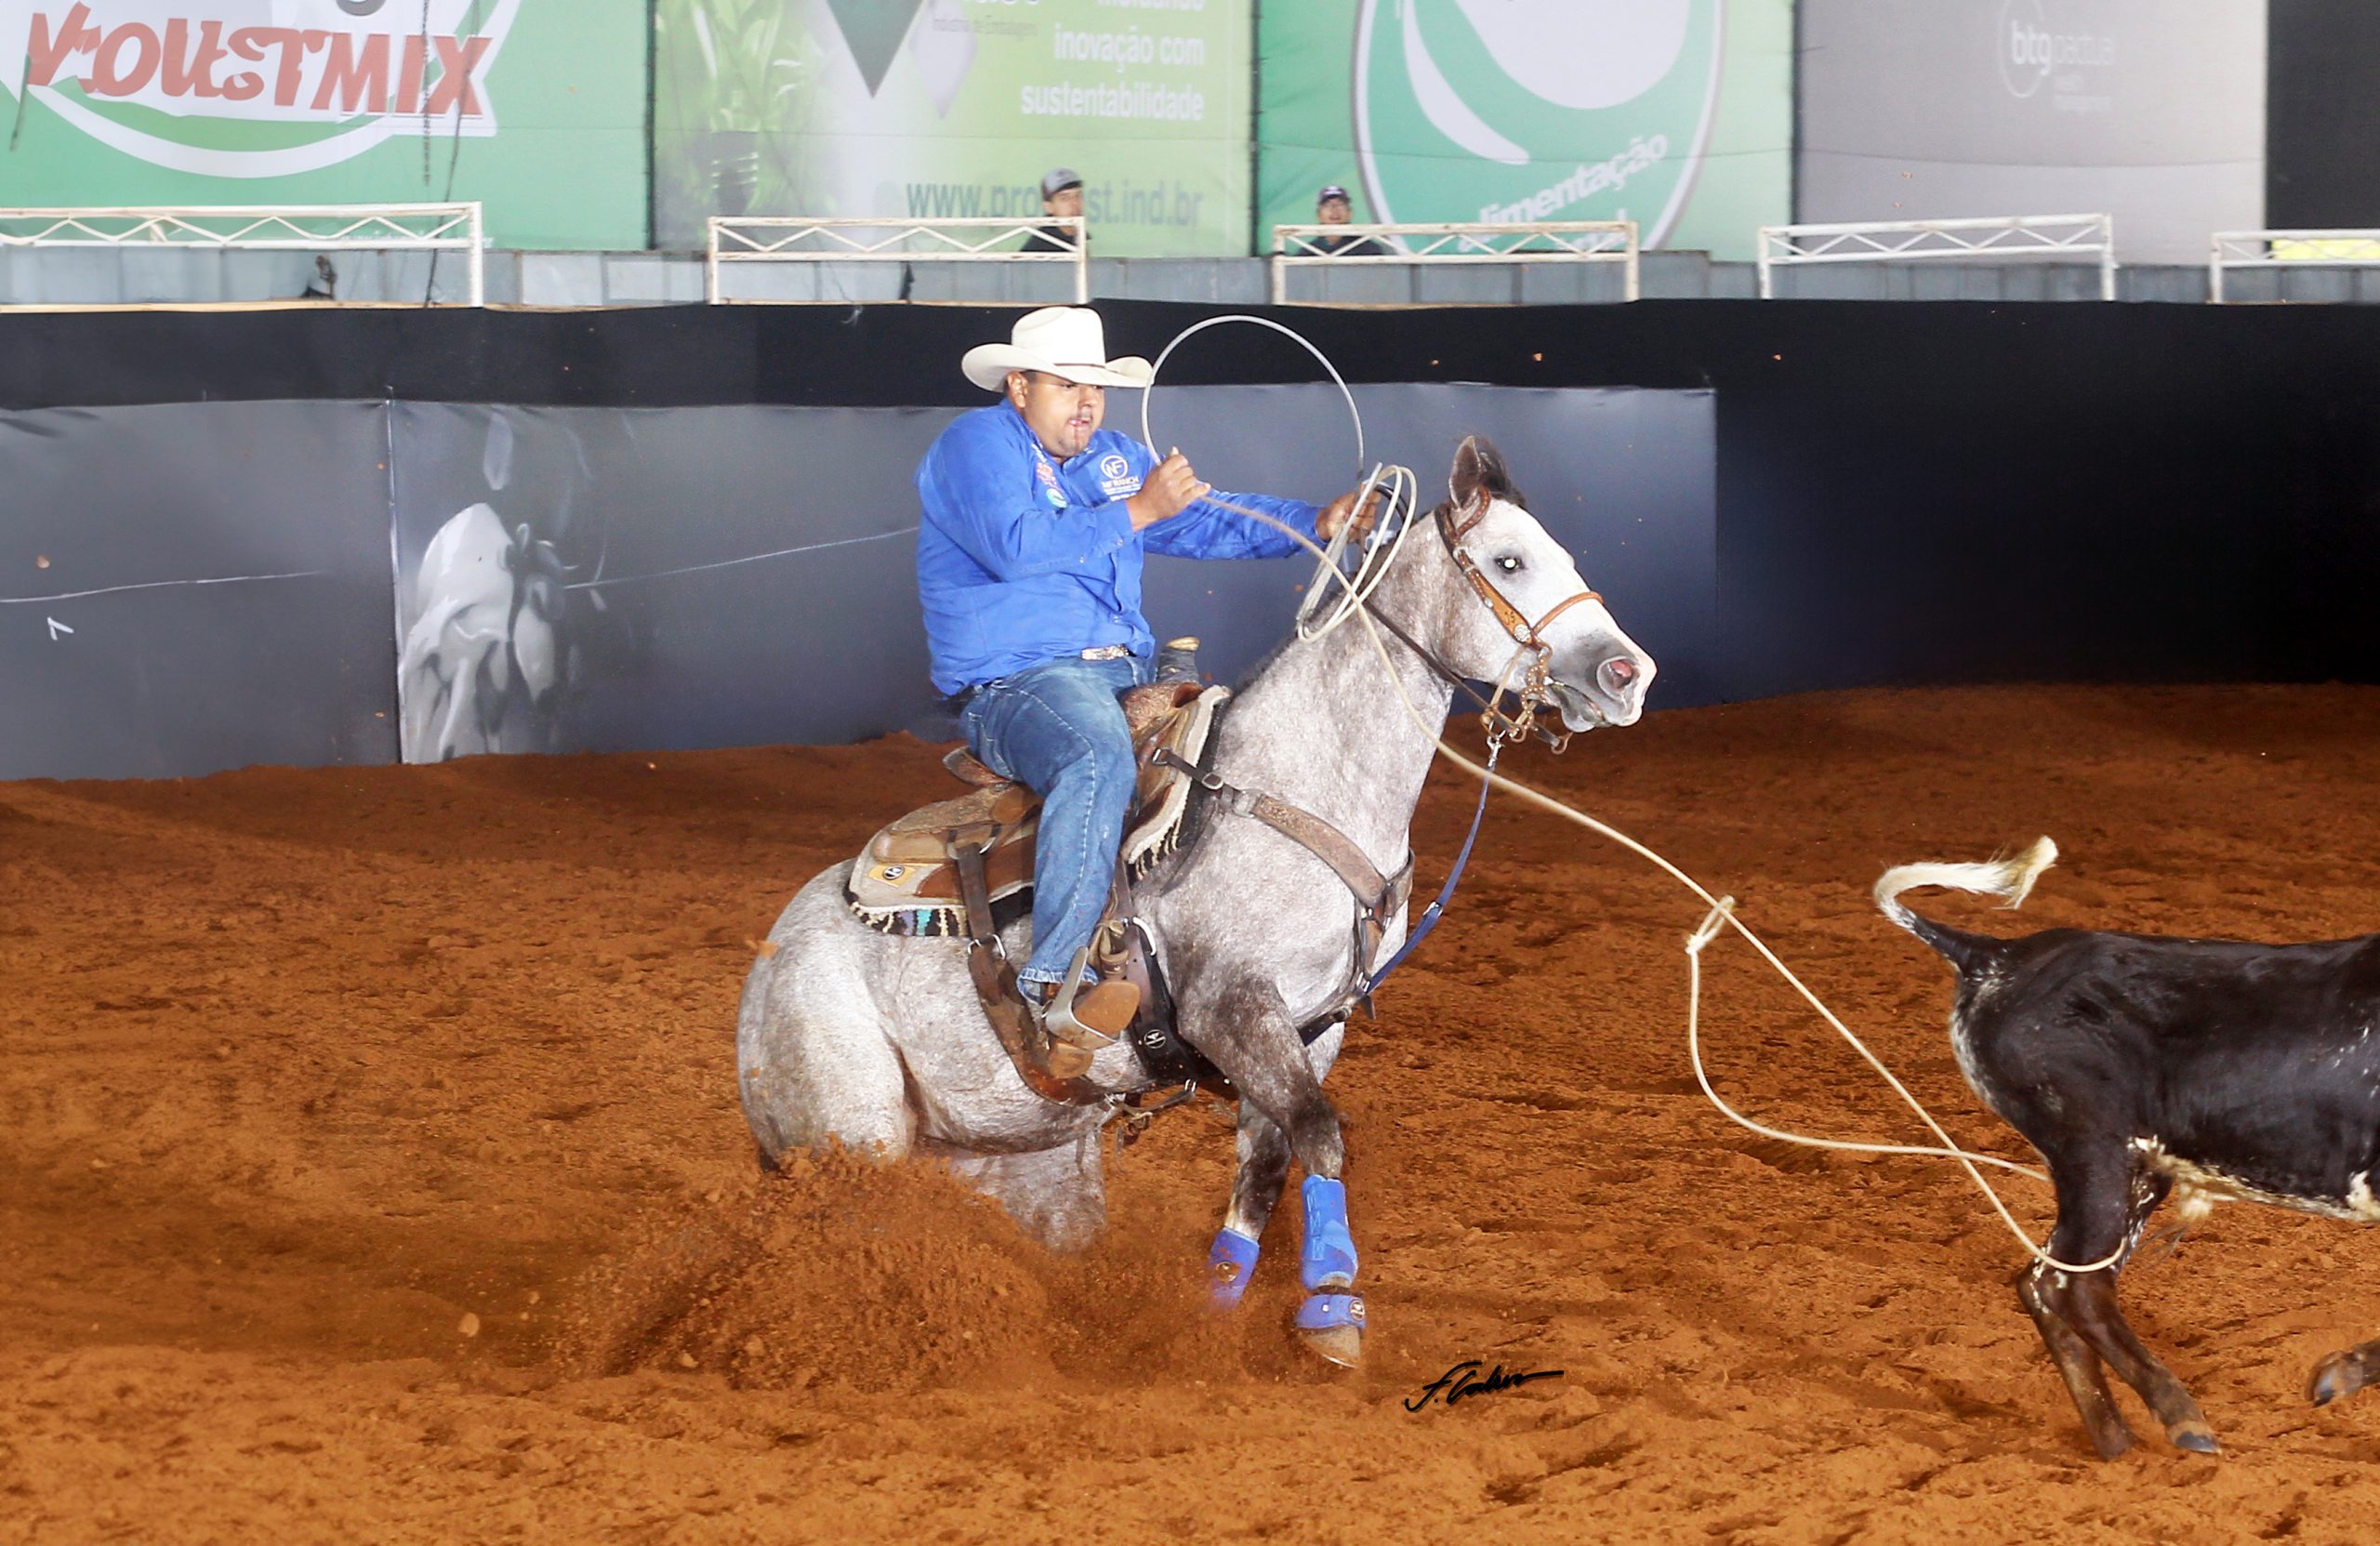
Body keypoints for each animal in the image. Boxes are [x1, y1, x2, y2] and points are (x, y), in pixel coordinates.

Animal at [728, 437, 1656, 1360]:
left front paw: (1226, 1304)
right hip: (852, 1135)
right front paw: (1334, 1299)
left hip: (1023, 1157)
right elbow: (1323, 1134)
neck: (1300, 789)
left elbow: (1270, 1163)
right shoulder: (1229, 1004)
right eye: (1509, 560)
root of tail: (770, 959)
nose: (1628, 672)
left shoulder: (1312, 1025)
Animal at [1875, 841, 2380, 1455]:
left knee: (2045, 1283)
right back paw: (2182, 1418)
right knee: (2073, 1286)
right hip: (2096, 1152)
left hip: (2133, 1172)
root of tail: (1994, 956)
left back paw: (2115, 1441)